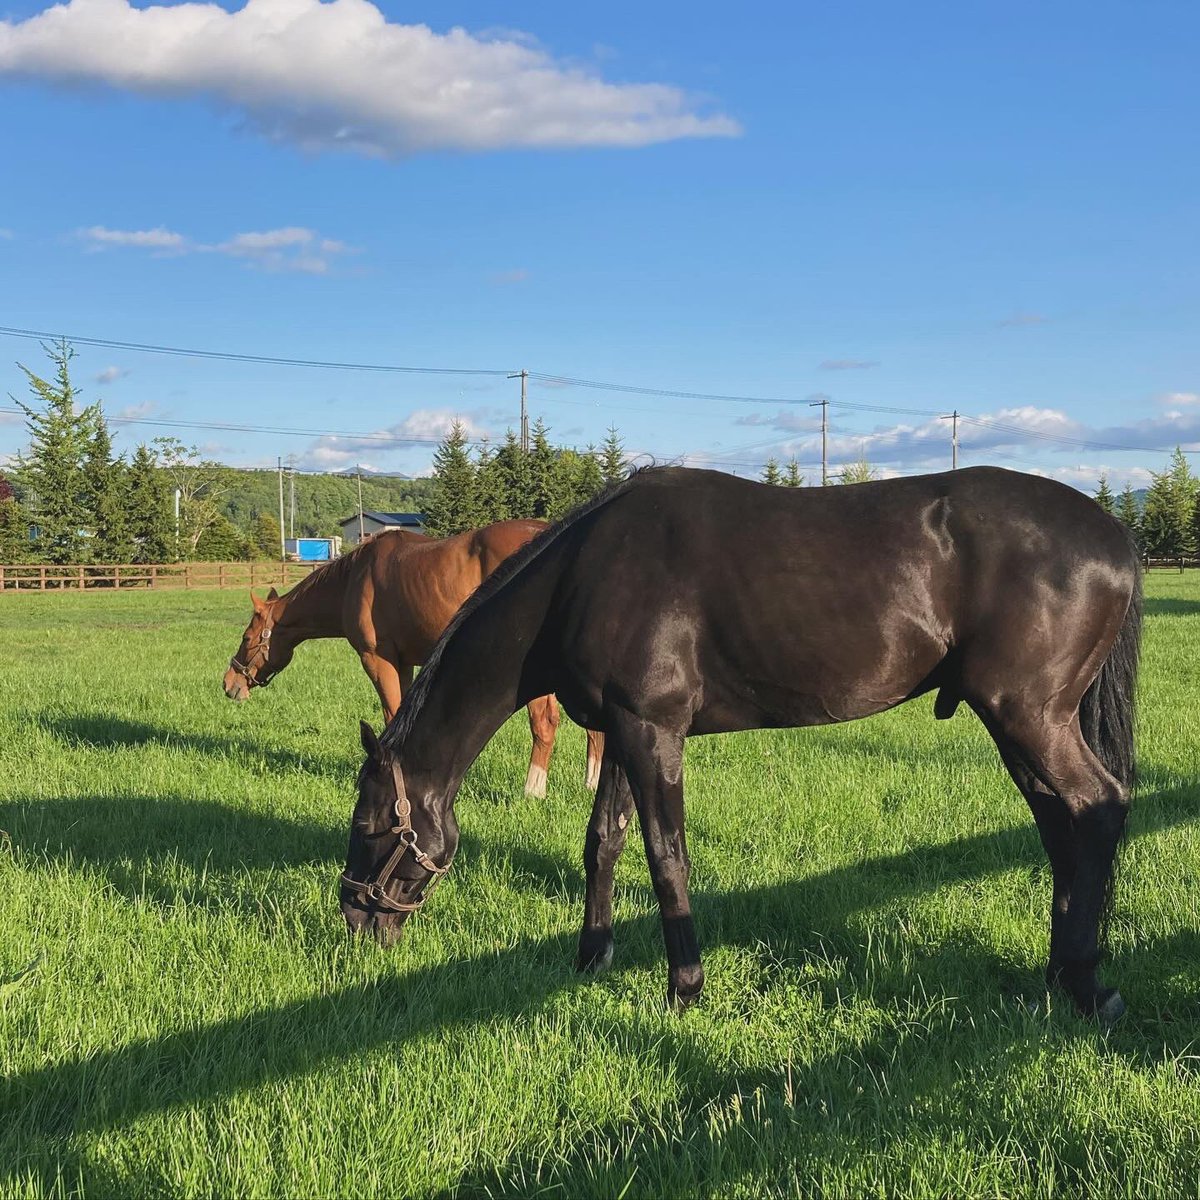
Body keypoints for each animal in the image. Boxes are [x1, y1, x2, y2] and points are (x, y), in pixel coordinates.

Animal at [222, 520, 604, 798]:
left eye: (247, 639)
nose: (228, 684)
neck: (354, 579)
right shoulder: (404, 662)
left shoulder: (378, 660)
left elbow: (392, 714)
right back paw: (590, 782)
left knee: (545, 723)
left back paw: (533, 791)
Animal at [340, 466, 1141, 1022]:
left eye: (372, 824)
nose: (354, 918)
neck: (584, 573)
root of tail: (1112, 537)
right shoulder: (622, 731)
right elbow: (604, 839)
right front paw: (591, 955)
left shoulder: (653, 732)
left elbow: (666, 857)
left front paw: (684, 987)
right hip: (1022, 727)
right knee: (1059, 823)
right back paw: (1059, 975)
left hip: (1029, 717)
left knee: (1097, 807)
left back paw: (1088, 985)